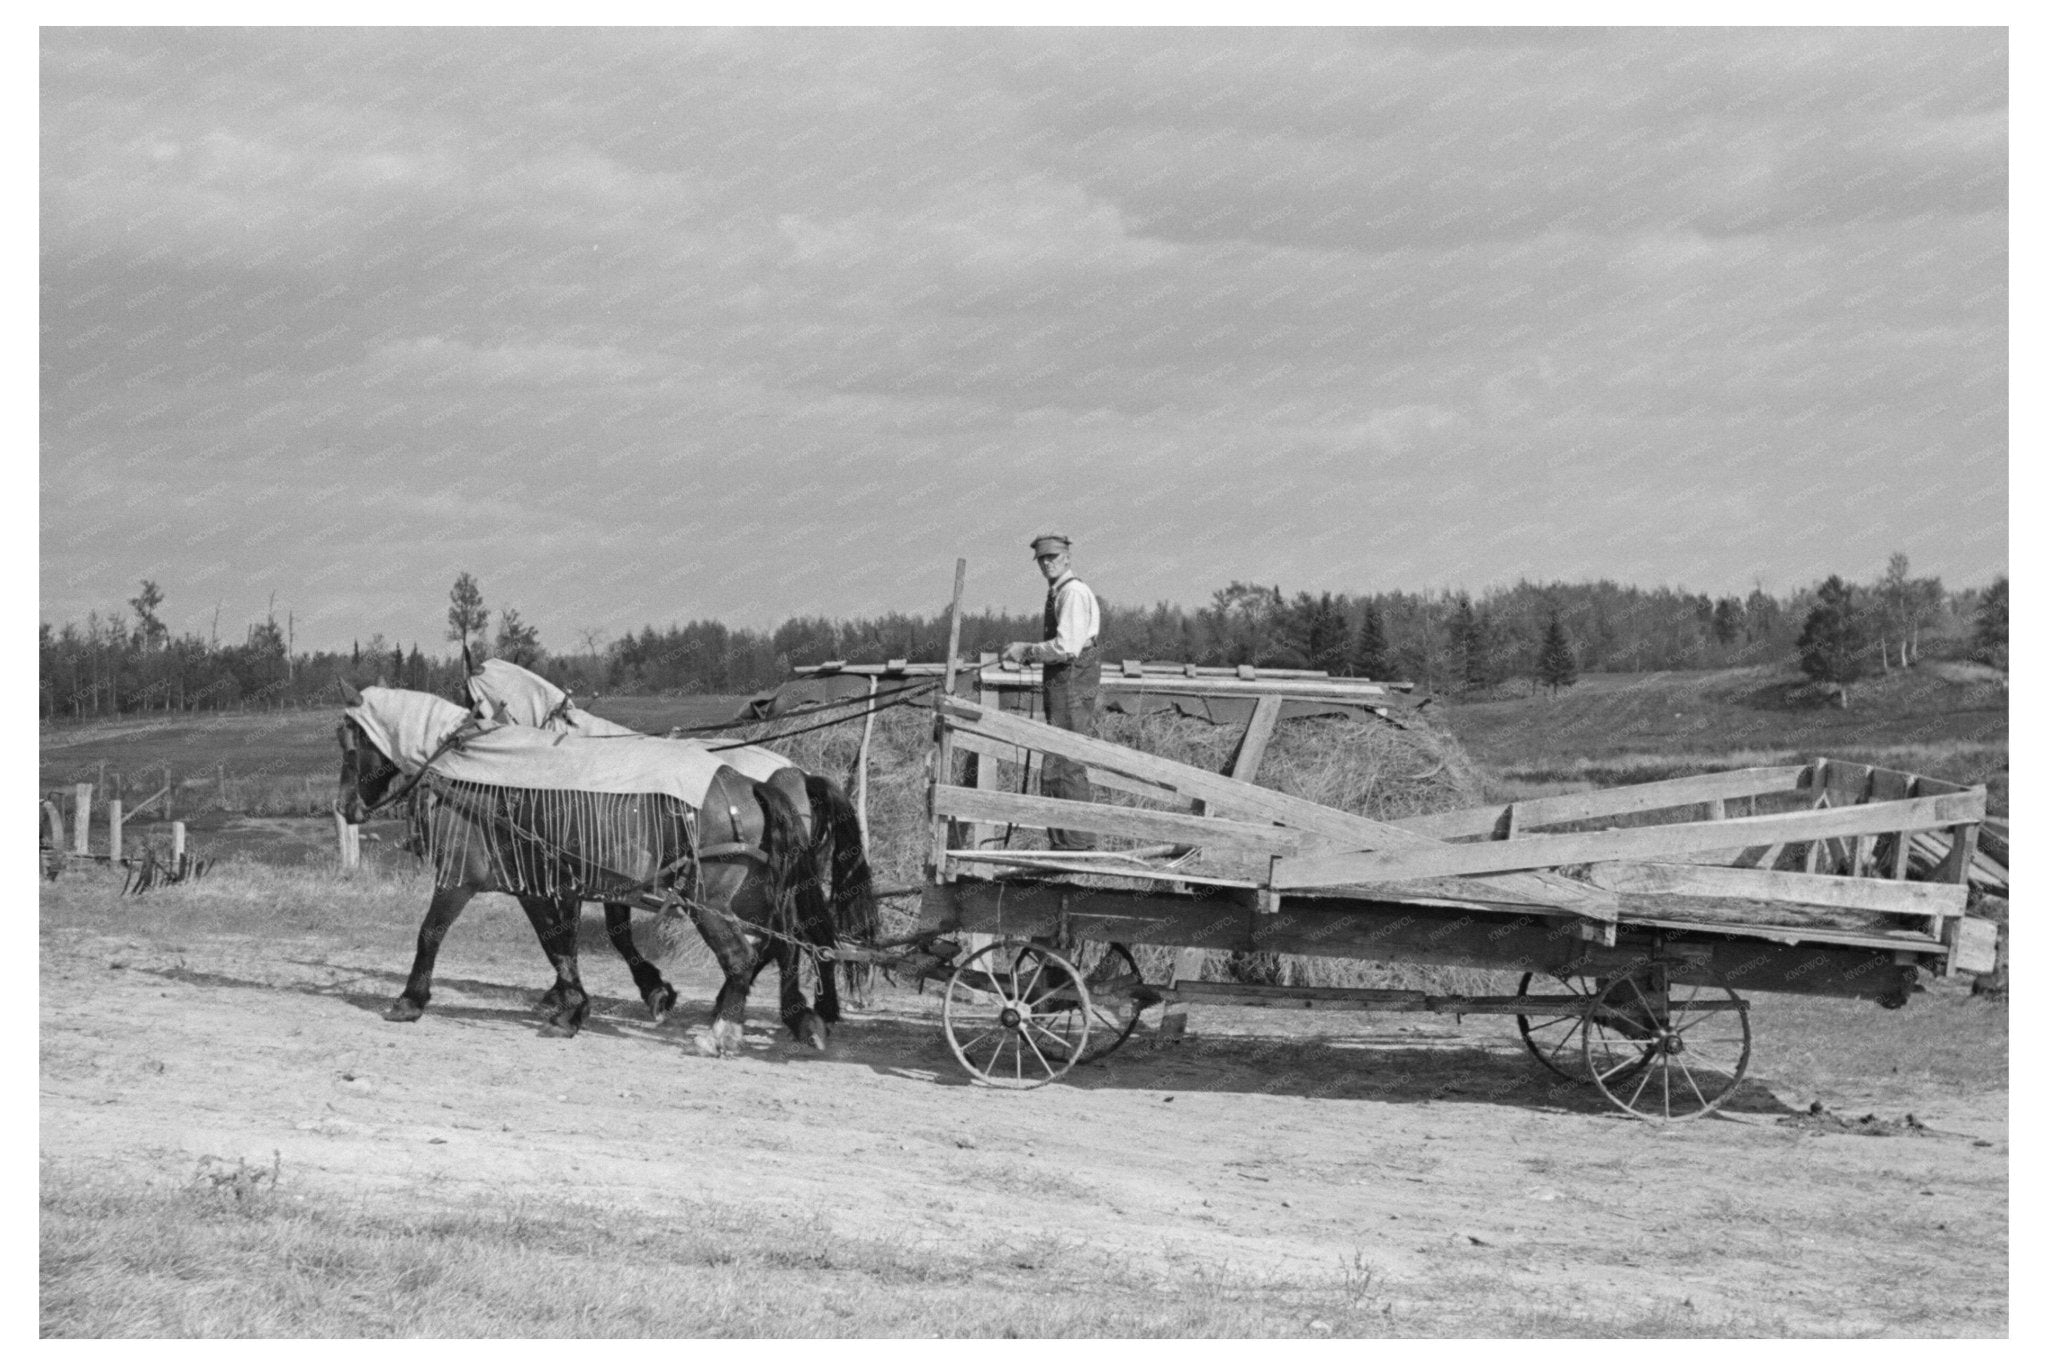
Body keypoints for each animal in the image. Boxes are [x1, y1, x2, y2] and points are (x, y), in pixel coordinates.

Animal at [335, 683, 831, 1055]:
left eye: (347, 744)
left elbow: (431, 933)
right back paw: (795, 1017)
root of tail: (753, 782)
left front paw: (409, 1001)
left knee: (743, 956)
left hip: (707, 900)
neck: (468, 767)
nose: (343, 807)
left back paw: (724, 1032)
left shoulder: (461, 877)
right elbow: (558, 944)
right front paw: (574, 1007)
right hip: (752, 893)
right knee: (783, 943)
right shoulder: (537, 881)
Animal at [460, 663, 876, 1035]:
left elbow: (569, 934)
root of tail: (799, 776)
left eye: (471, 708)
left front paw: (622, 994)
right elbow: (605, 933)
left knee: (786, 940)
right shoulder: (609, 877)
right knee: (801, 938)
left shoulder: (571, 873)